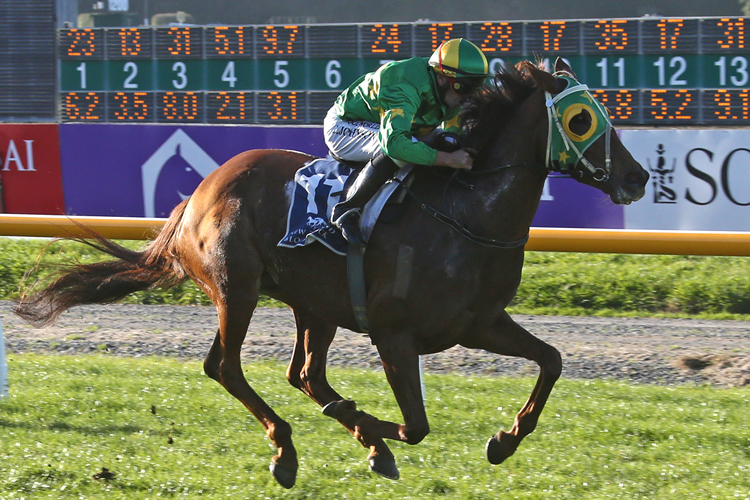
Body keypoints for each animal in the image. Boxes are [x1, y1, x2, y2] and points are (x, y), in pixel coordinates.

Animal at [16, 59, 652, 488]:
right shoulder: (394, 334)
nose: (638, 177)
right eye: (580, 119)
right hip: (237, 289)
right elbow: (416, 425)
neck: (467, 215)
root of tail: (198, 192)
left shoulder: (479, 323)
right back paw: (289, 450)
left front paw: (504, 441)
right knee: (227, 367)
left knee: (305, 374)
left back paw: (350, 433)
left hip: (315, 305)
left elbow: (552, 359)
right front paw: (371, 430)